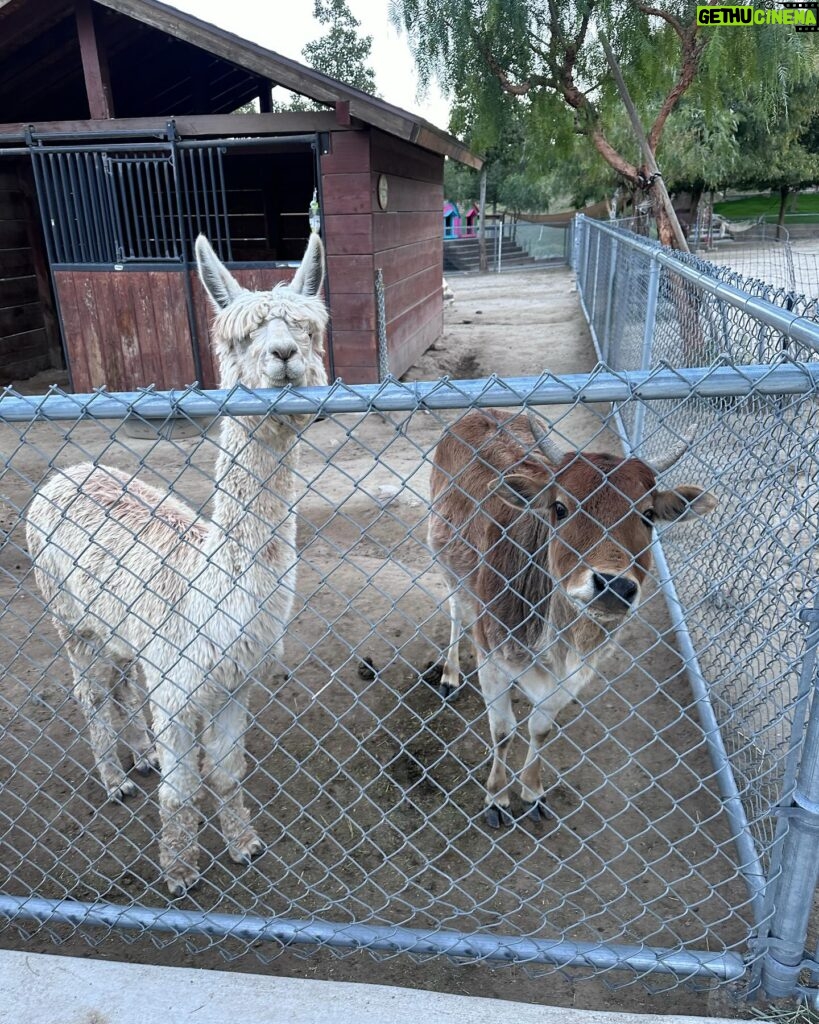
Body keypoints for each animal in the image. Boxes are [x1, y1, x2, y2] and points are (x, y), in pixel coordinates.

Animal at [427, 405, 716, 823]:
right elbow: (503, 730)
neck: (554, 639)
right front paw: (497, 798)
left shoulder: (572, 678)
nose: (614, 585)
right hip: (443, 558)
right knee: (454, 610)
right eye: (560, 507)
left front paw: (533, 792)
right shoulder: (492, 659)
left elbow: (539, 730)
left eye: (647, 514)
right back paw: (449, 673)